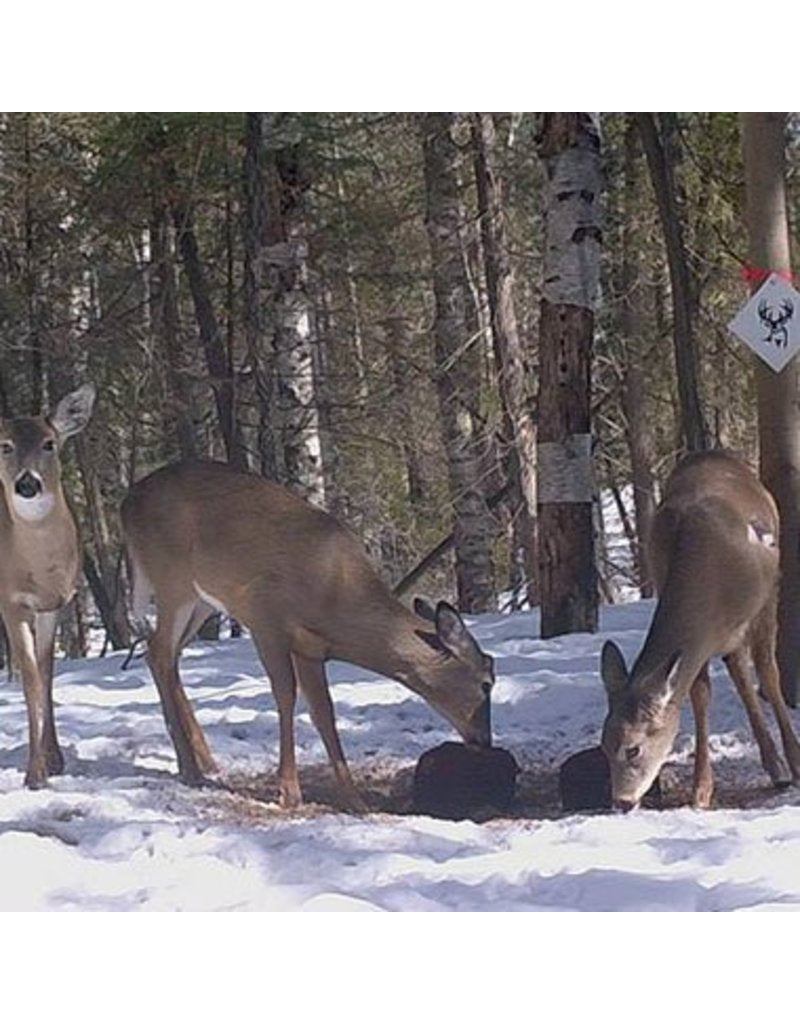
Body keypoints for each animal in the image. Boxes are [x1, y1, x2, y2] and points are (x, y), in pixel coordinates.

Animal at [121, 460, 494, 811]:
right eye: (487, 682)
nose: (485, 741)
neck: (335, 593)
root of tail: (127, 502)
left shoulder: (310, 648)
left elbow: (324, 712)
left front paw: (355, 800)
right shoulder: (264, 618)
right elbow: (286, 696)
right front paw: (289, 792)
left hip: (201, 600)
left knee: (165, 656)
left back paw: (205, 761)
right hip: (173, 579)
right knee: (158, 652)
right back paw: (191, 768)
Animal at [600, 449, 800, 812]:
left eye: (633, 748)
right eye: (604, 745)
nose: (621, 801)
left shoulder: (767, 598)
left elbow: (769, 674)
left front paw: (797, 763)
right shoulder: (699, 638)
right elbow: (700, 693)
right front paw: (701, 790)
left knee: (751, 674)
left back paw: (782, 767)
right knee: (738, 673)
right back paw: (774, 767)